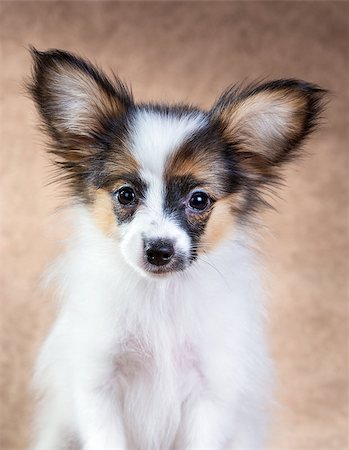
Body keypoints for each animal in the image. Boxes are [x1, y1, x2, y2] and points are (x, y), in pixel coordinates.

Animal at [28, 49, 324, 450]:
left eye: (199, 200)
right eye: (126, 195)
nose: (159, 251)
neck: (160, 297)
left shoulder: (212, 390)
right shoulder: (97, 382)